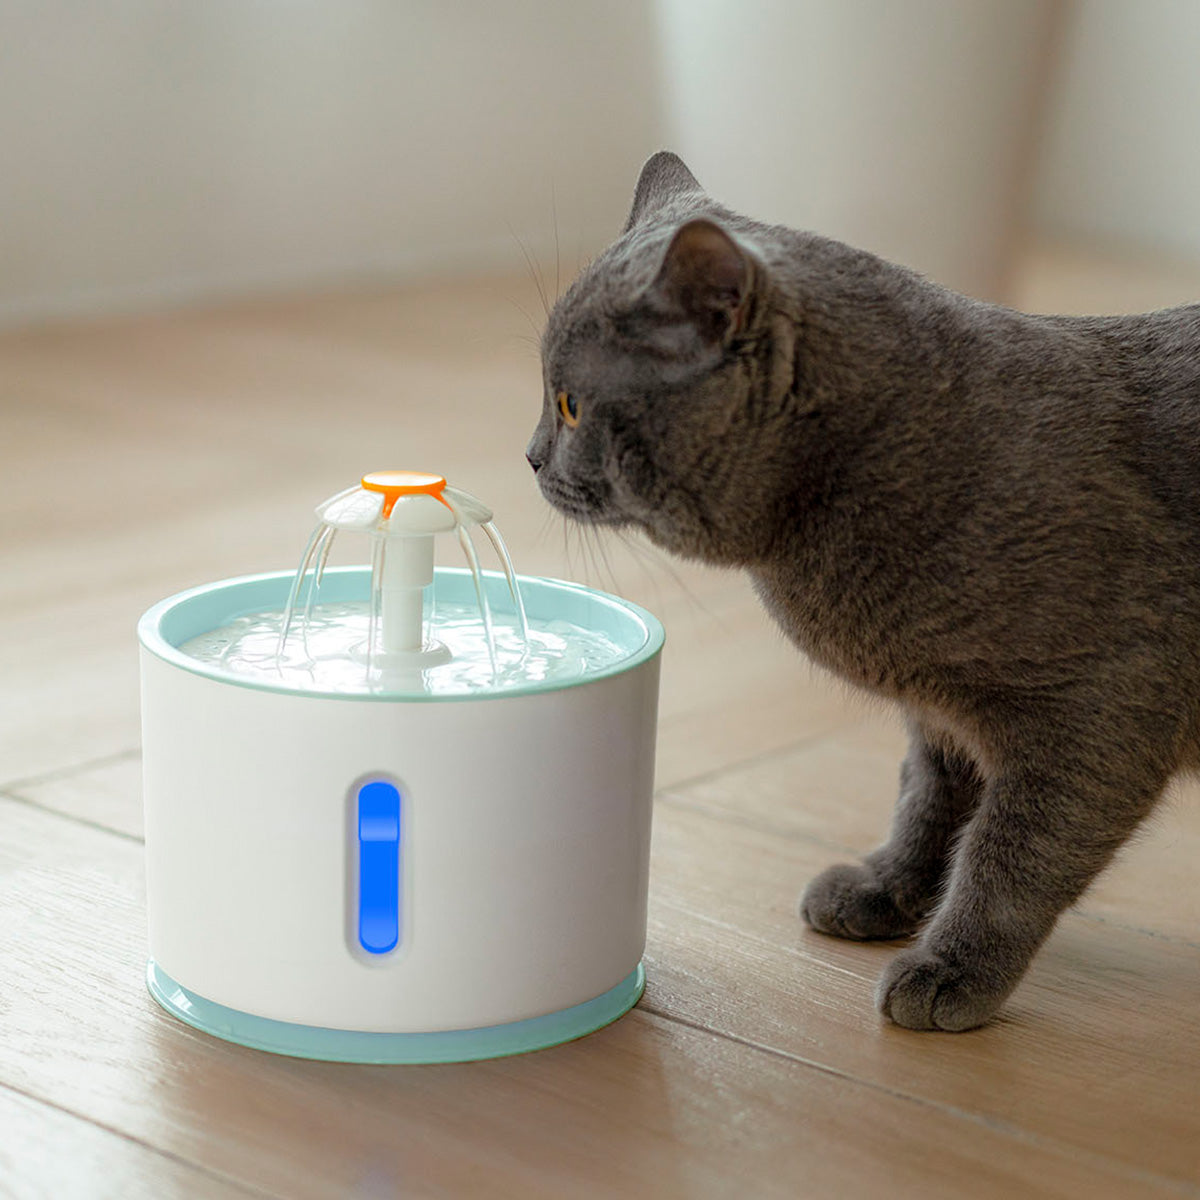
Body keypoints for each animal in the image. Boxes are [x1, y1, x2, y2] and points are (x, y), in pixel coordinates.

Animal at [528, 150, 1200, 1032]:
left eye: (571, 406)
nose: (529, 455)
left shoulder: (1102, 715)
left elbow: (1010, 856)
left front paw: (952, 970)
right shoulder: (942, 717)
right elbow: (927, 803)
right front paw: (885, 891)